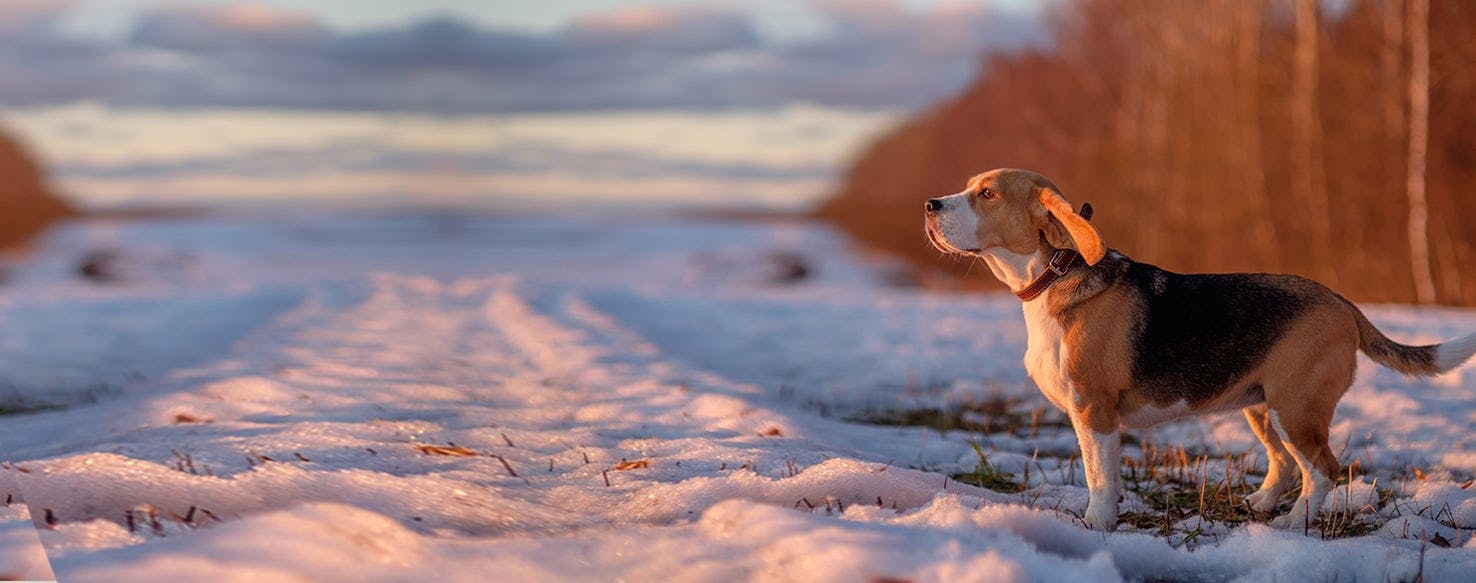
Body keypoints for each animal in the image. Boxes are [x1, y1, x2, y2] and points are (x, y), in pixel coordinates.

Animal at [921, 166, 1476, 531]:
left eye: (987, 193)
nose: (929, 205)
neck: (1055, 275)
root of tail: (1342, 302)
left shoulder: (1094, 411)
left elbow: (1097, 475)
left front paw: (1097, 522)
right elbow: (1108, 475)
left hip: (1296, 407)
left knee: (1323, 470)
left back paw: (1294, 524)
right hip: (1262, 408)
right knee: (1284, 463)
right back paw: (1260, 505)